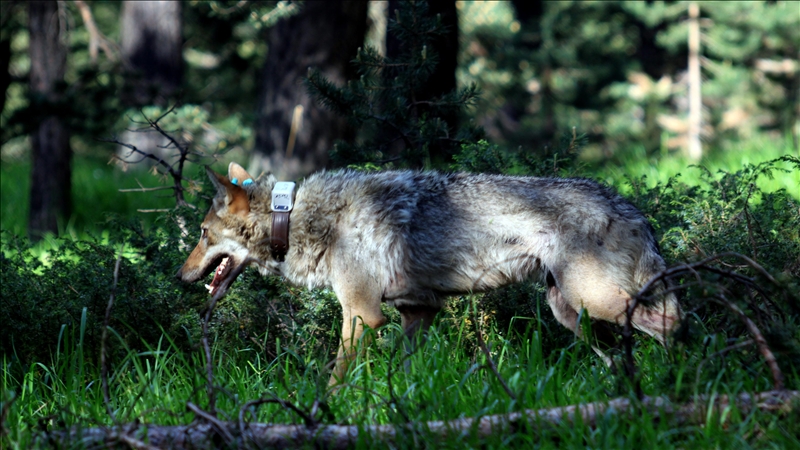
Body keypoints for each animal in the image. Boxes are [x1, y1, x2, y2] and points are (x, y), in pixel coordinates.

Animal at [177, 162, 681, 385]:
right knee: (628, 349)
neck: (297, 216)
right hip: (571, 314)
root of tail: (630, 206)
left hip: (594, 302)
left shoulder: (362, 316)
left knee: (673, 321)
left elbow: (336, 377)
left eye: (201, 234)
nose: (180, 277)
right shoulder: (418, 312)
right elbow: (406, 373)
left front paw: (327, 412)